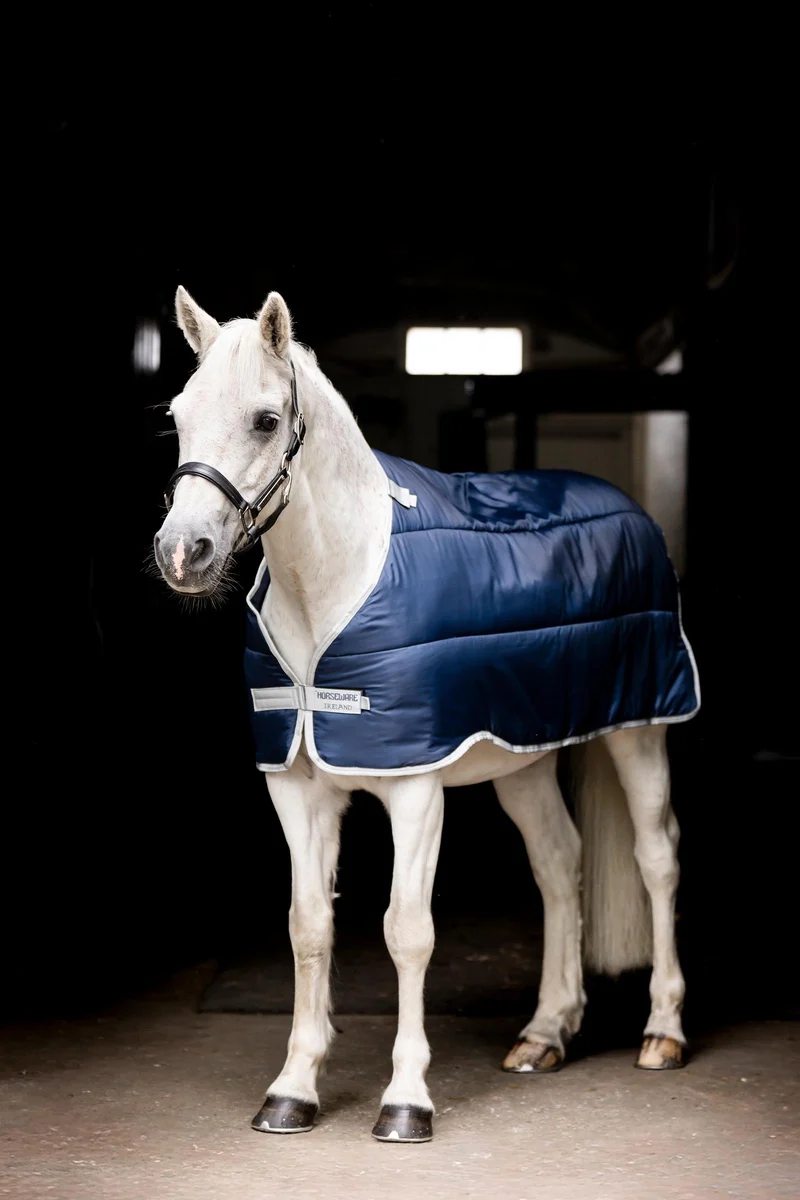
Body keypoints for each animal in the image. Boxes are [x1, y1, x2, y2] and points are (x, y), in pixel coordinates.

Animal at [153, 286, 699, 1143]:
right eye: (179, 414)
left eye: (266, 421)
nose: (185, 553)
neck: (339, 581)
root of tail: (625, 506)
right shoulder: (297, 785)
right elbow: (308, 925)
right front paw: (292, 1090)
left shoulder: (415, 788)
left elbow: (407, 931)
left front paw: (406, 1100)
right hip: (524, 758)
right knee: (559, 863)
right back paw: (545, 1034)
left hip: (639, 730)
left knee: (657, 858)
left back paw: (663, 1033)